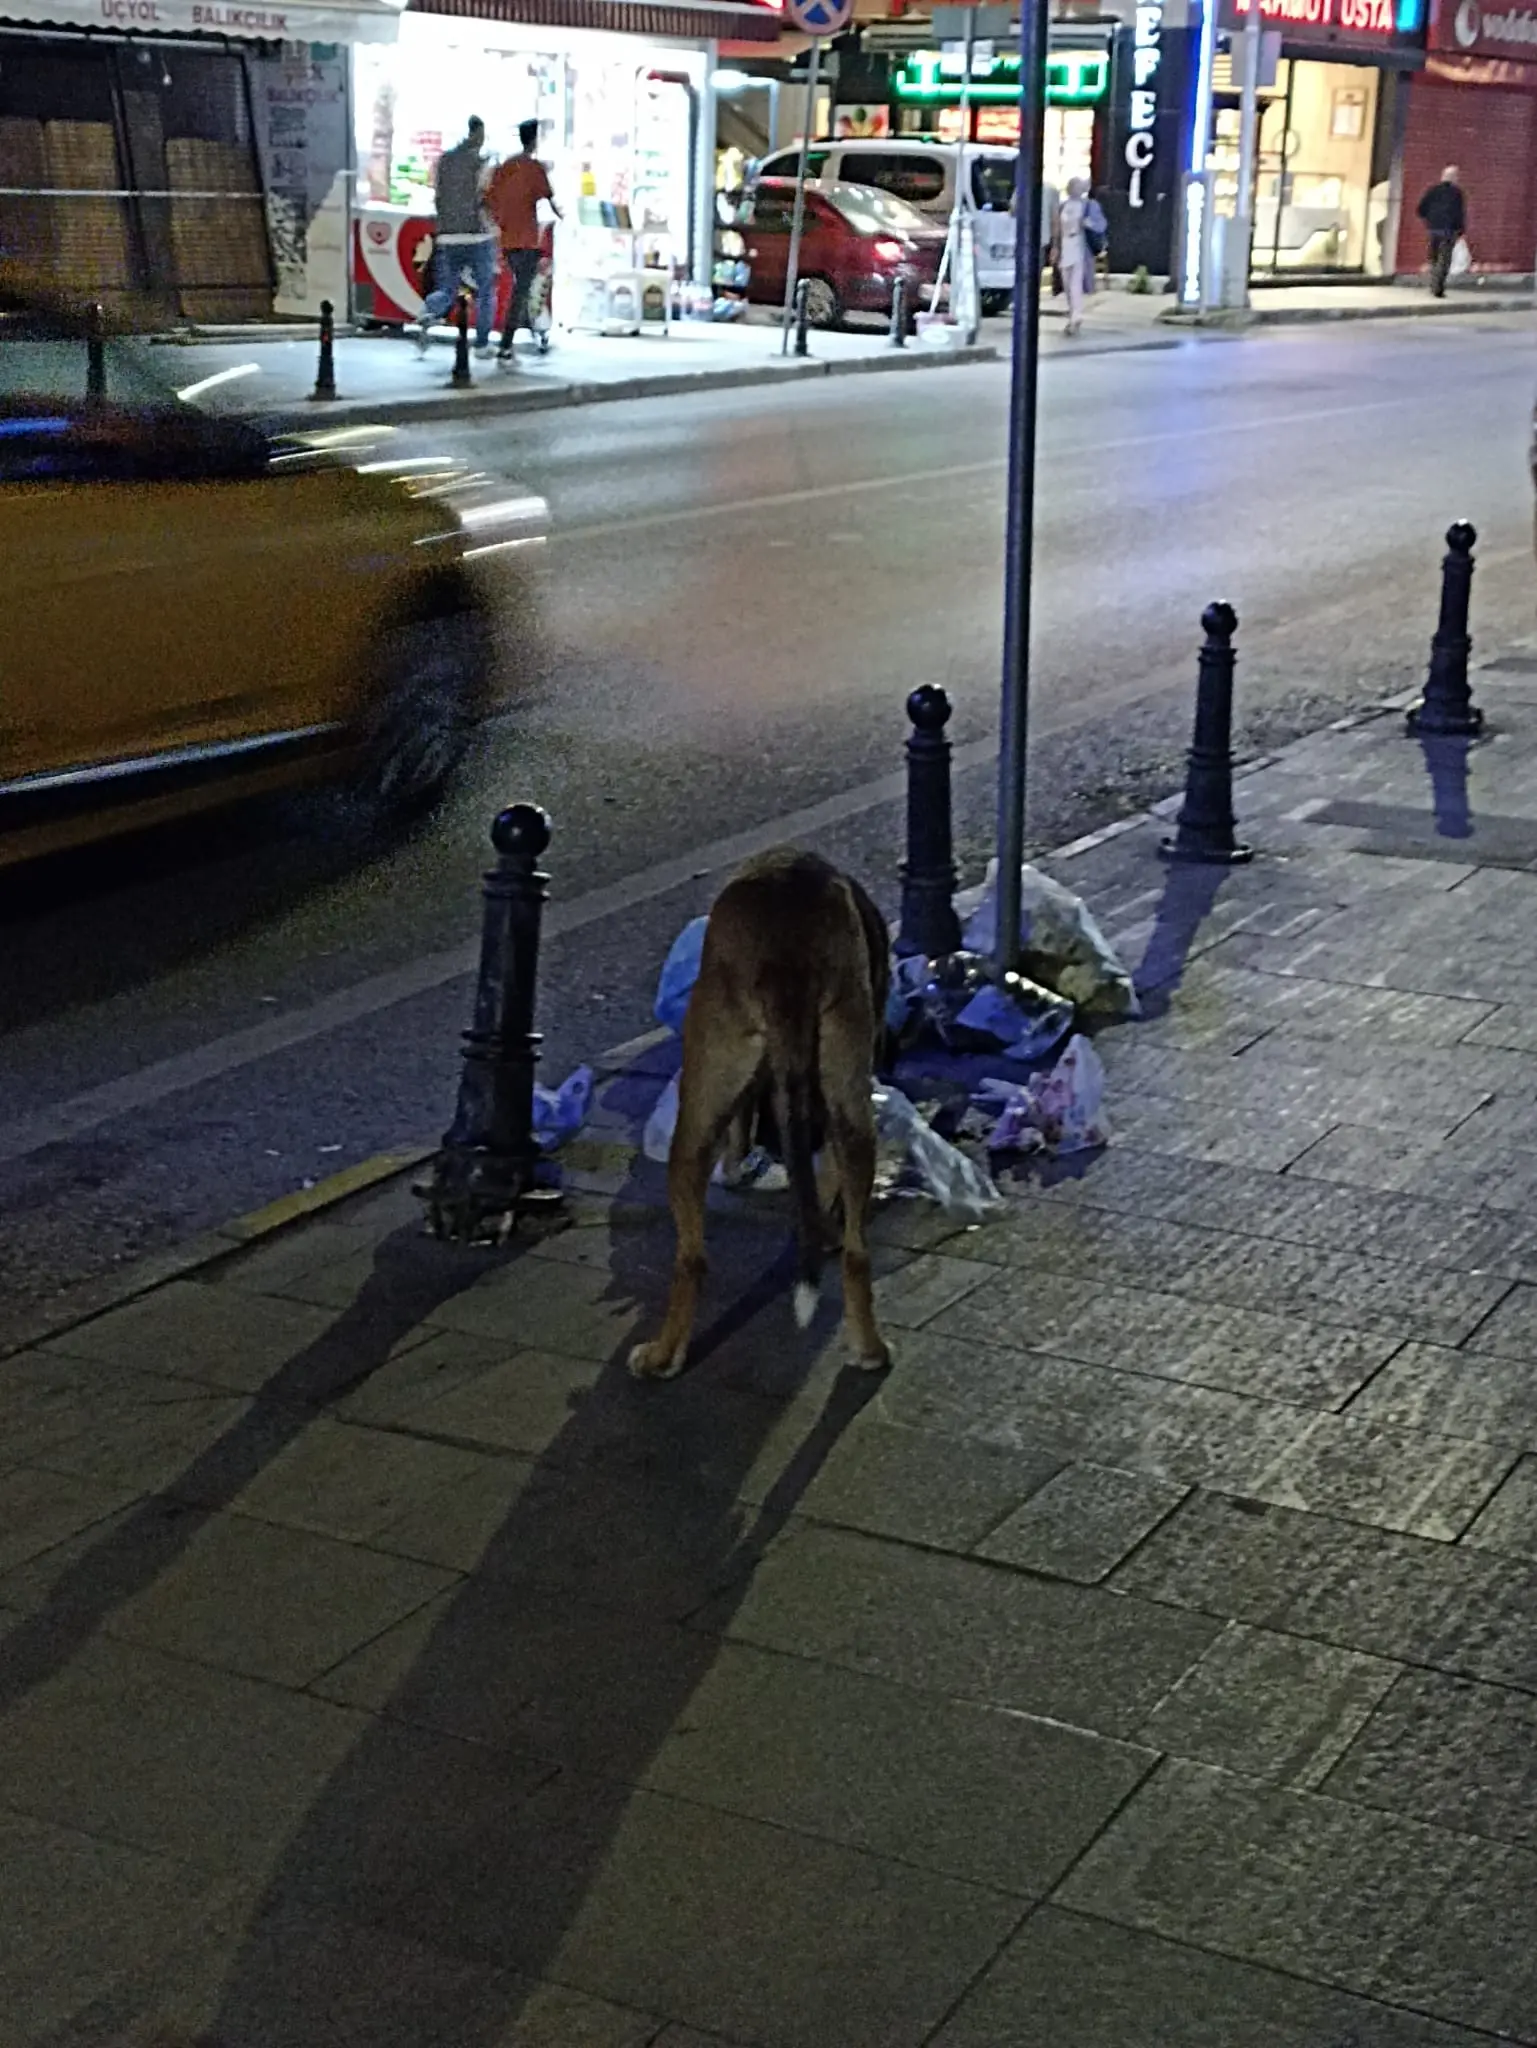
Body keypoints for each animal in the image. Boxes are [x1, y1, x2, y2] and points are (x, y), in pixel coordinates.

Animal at [627, 839, 889, 1384]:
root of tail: (785, 951)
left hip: (698, 1103)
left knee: (692, 1259)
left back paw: (662, 1356)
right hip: (851, 1096)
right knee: (857, 1251)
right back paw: (870, 1347)